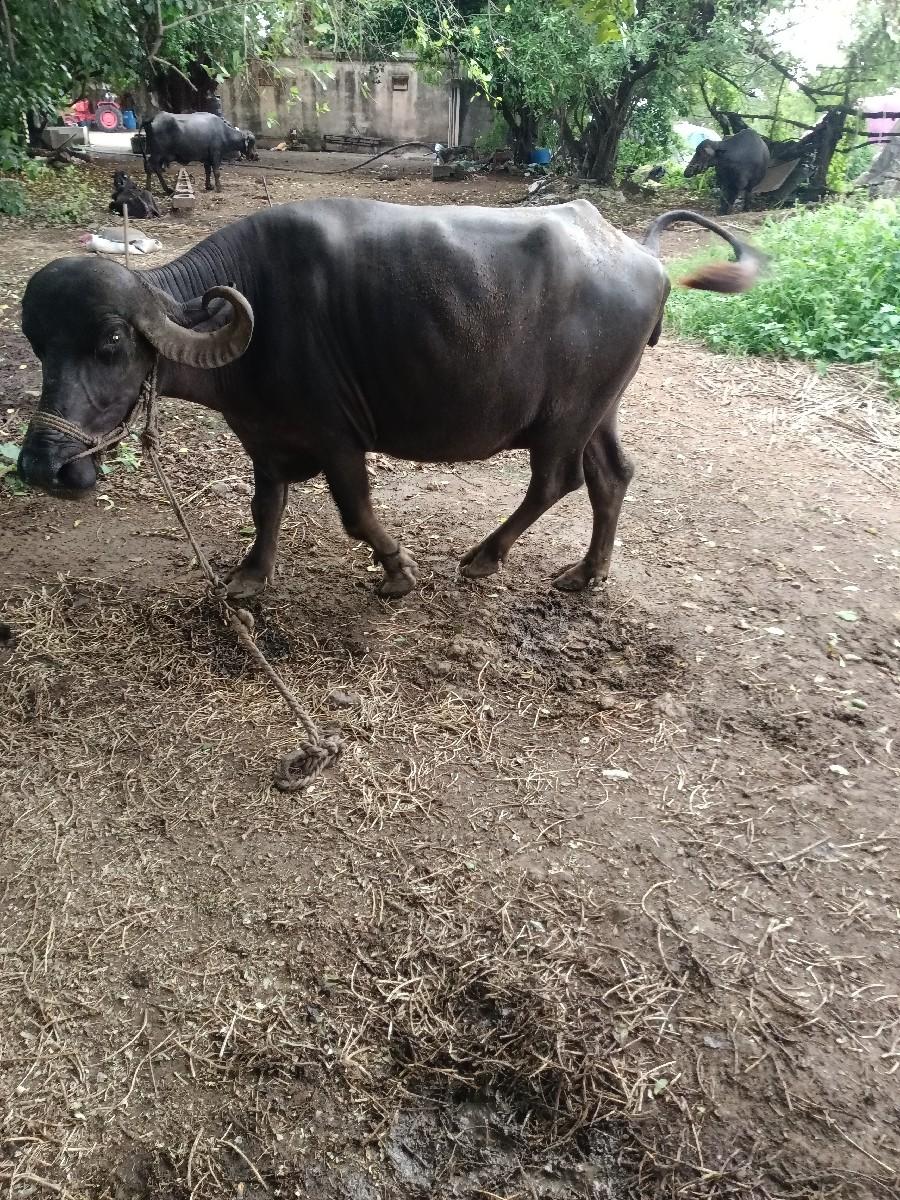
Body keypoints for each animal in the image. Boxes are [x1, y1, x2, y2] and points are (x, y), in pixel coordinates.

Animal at [17, 200, 761, 600]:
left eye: (111, 342)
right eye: (38, 343)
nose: (41, 467)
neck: (253, 316)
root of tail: (644, 258)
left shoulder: (336, 436)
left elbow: (354, 513)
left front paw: (398, 571)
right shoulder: (262, 435)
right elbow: (266, 505)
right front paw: (251, 576)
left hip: (566, 416)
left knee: (557, 481)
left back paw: (484, 557)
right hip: (601, 408)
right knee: (612, 477)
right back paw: (587, 573)